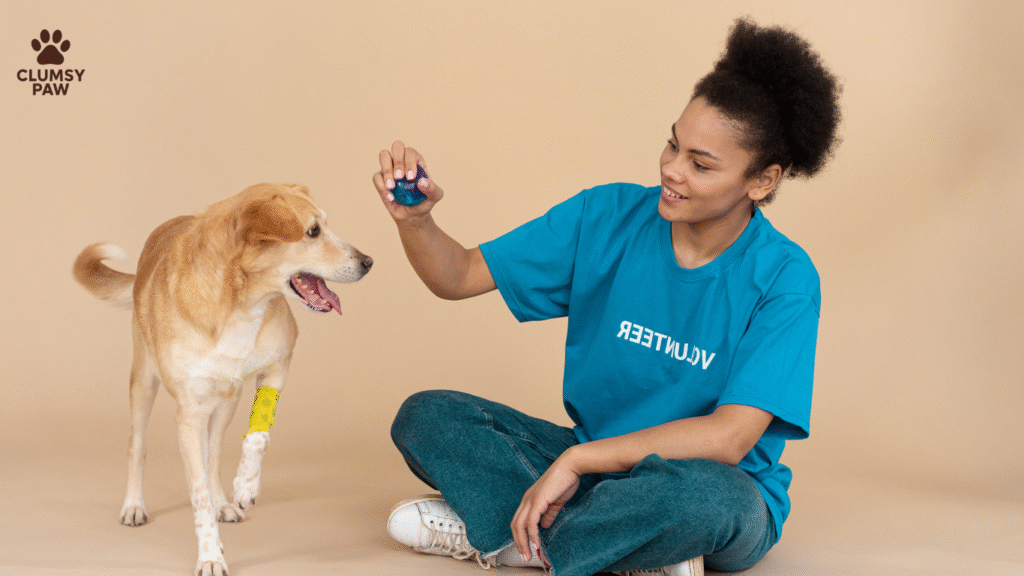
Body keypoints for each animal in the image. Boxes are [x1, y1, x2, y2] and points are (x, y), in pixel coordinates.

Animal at [73, 183, 372, 576]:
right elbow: (196, 494)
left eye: (324, 225)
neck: (238, 303)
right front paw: (210, 554)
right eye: (312, 232)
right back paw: (134, 505)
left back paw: (222, 500)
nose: (368, 262)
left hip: (228, 399)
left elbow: (257, 437)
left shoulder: (279, 364)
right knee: (138, 445)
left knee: (212, 452)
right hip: (144, 382)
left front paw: (244, 486)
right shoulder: (188, 413)